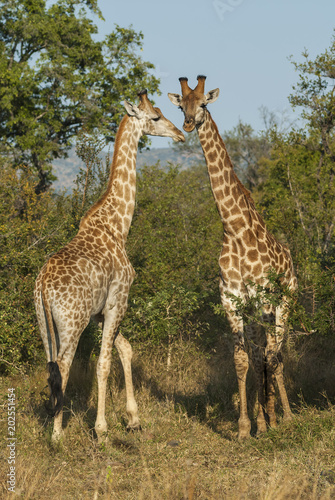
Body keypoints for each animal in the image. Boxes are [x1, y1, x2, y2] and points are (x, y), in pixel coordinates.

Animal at [35, 90, 185, 442]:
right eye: (156, 116)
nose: (180, 134)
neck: (118, 225)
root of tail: (44, 286)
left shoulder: (102, 311)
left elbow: (125, 349)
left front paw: (133, 418)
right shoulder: (119, 300)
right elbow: (103, 363)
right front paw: (102, 429)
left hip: (43, 322)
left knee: (50, 365)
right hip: (71, 322)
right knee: (63, 366)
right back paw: (57, 436)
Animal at [169, 76, 298, 440]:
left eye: (203, 104)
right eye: (181, 106)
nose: (188, 124)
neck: (235, 227)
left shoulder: (260, 299)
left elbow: (264, 357)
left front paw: (267, 421)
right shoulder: (231, 300)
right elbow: (243, 360)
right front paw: (245, 427)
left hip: (285, 301)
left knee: (276, 353)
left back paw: (285, 417)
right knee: (263, 353)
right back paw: (268, 416)